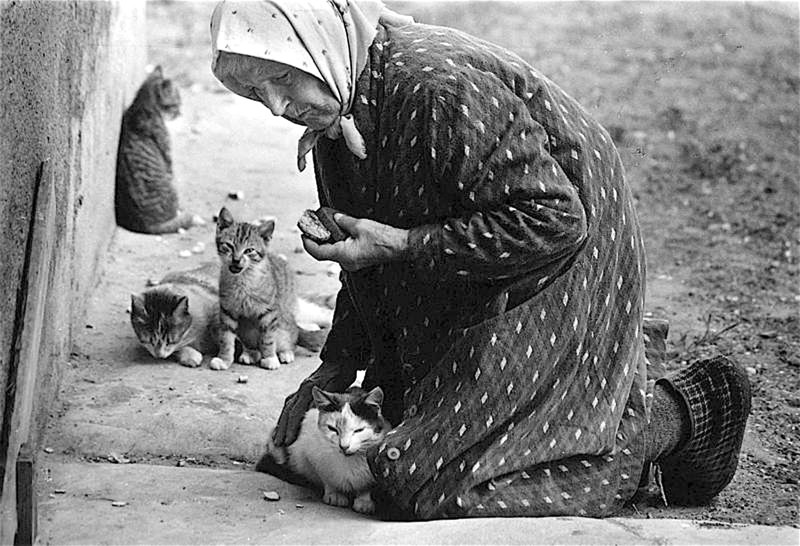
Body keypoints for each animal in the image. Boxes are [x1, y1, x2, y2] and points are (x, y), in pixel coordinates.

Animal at [211, 206, 330, 368]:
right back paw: (250, 352)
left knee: (290, 340)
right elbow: (226, 338)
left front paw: (269, 358)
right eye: (229, 246)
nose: (236, 260)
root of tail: (296, 326)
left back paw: (285, 352)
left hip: (284, 324)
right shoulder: (227, 310)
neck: (242, 280)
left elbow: (267, 338)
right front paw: (224, 359)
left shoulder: (269, 312)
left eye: (249, 250)